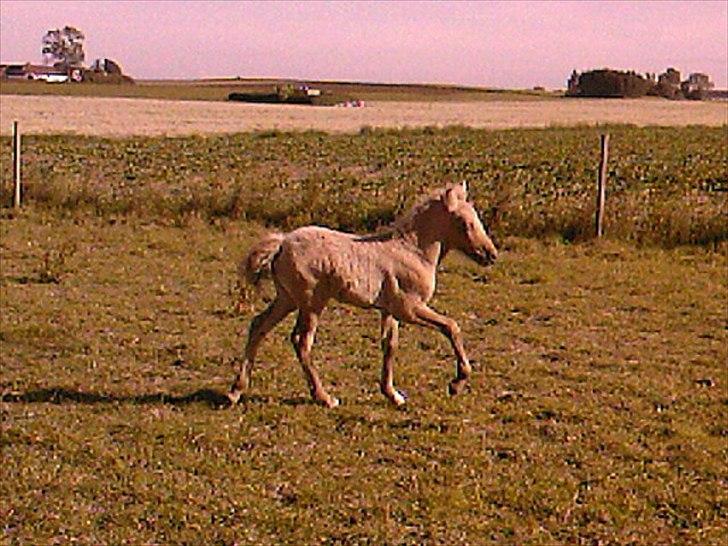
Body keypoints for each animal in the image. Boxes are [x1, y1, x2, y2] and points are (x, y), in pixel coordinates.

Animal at [230, 181, 498, 406]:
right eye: (465, 223)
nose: (491, 255)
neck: (413, 251)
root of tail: (283, 242)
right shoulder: (410, 309)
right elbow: (451, 326)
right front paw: (457, 383)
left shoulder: (390, 311)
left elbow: (390, 346)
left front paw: (393, 395)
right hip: (311, 302)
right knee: (301, 341)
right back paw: (325, 398)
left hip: (287, 299)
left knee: (259, 326)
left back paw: (236, 391)